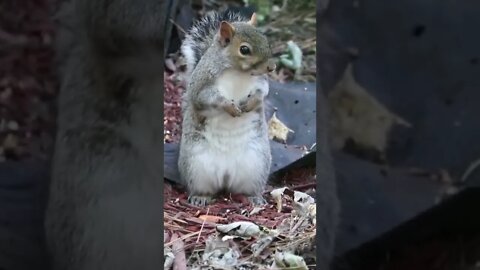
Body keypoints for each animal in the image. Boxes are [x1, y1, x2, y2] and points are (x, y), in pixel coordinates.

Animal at [178, 9, 276, 206]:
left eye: (265, 40)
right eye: (244, 49)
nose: (272, 67)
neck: (239, 72)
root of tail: (226, 175)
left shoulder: (260, 82)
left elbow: (262, 92)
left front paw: (250, 103)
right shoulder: (202, 85)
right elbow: (206, 98)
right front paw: (229, 107)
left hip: (256, 165)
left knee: (248, 188)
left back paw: (254, 198)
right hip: (196, 167)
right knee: (202, 187)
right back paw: (200, 197)